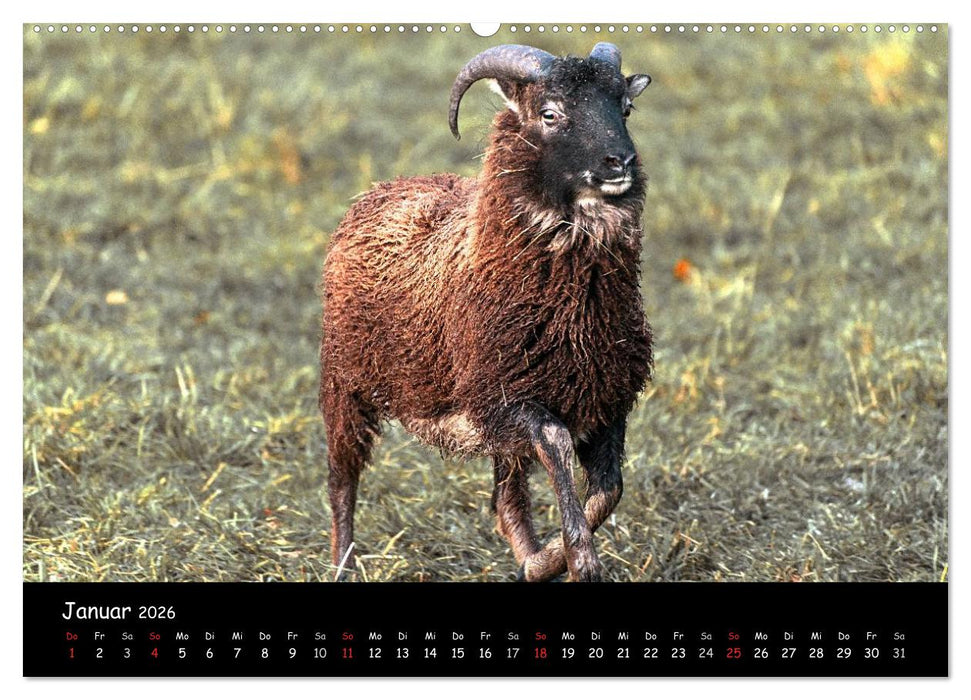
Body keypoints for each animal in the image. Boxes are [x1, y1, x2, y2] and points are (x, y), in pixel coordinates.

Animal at [319, 43, 654, 582]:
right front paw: (581, 560)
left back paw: (531, 560)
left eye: (625, 108)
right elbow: (556, 442)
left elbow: (608, 491)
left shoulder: (606, 400)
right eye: (549, 113)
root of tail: (380, 187)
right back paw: (342, 564)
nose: (619, 161)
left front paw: (548, 562)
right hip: (345, 383)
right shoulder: (499, 401)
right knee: (341, 480)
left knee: (507, 501)